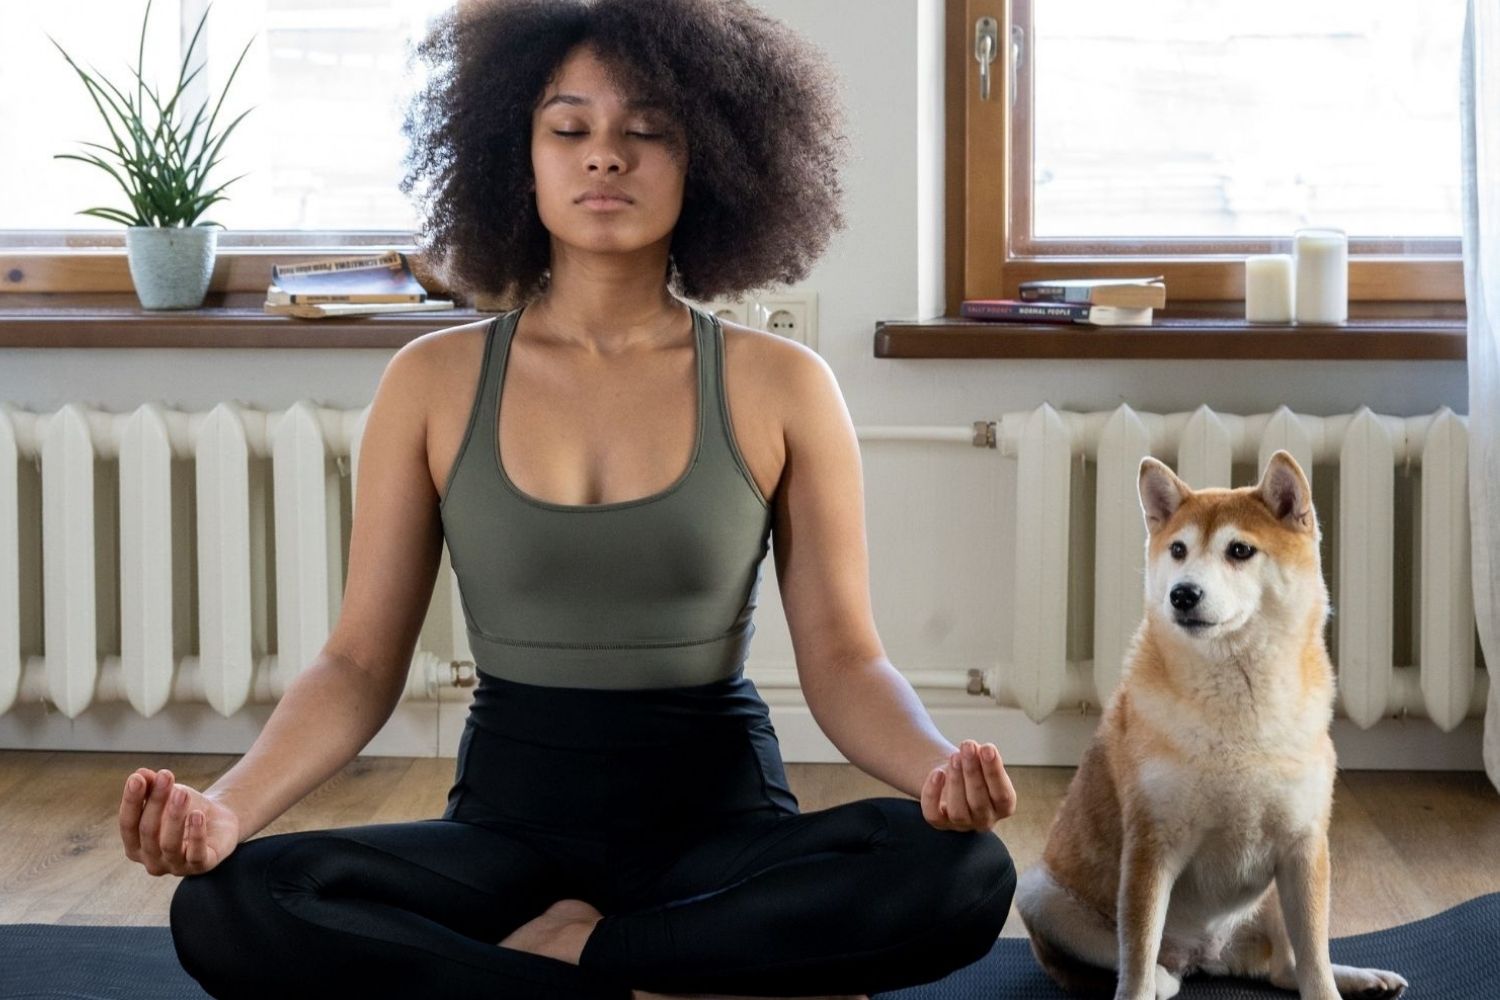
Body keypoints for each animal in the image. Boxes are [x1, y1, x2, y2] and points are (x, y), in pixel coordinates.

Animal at [1014, 452, 1410, 1000]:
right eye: (1178, 550)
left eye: (1239, 550)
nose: (1183, 594)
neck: (1237, 707)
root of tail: (1206, 957)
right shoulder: (1151, 847)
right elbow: (1135, 957)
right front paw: (1138, 986)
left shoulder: (1304, 845)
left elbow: (1314, 960)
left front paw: (1331, 986)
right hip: (1040, 893)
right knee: (1138, 963)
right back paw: (1162, 977)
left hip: (1275, 897)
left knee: (1288, 966)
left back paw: (1363, 978)